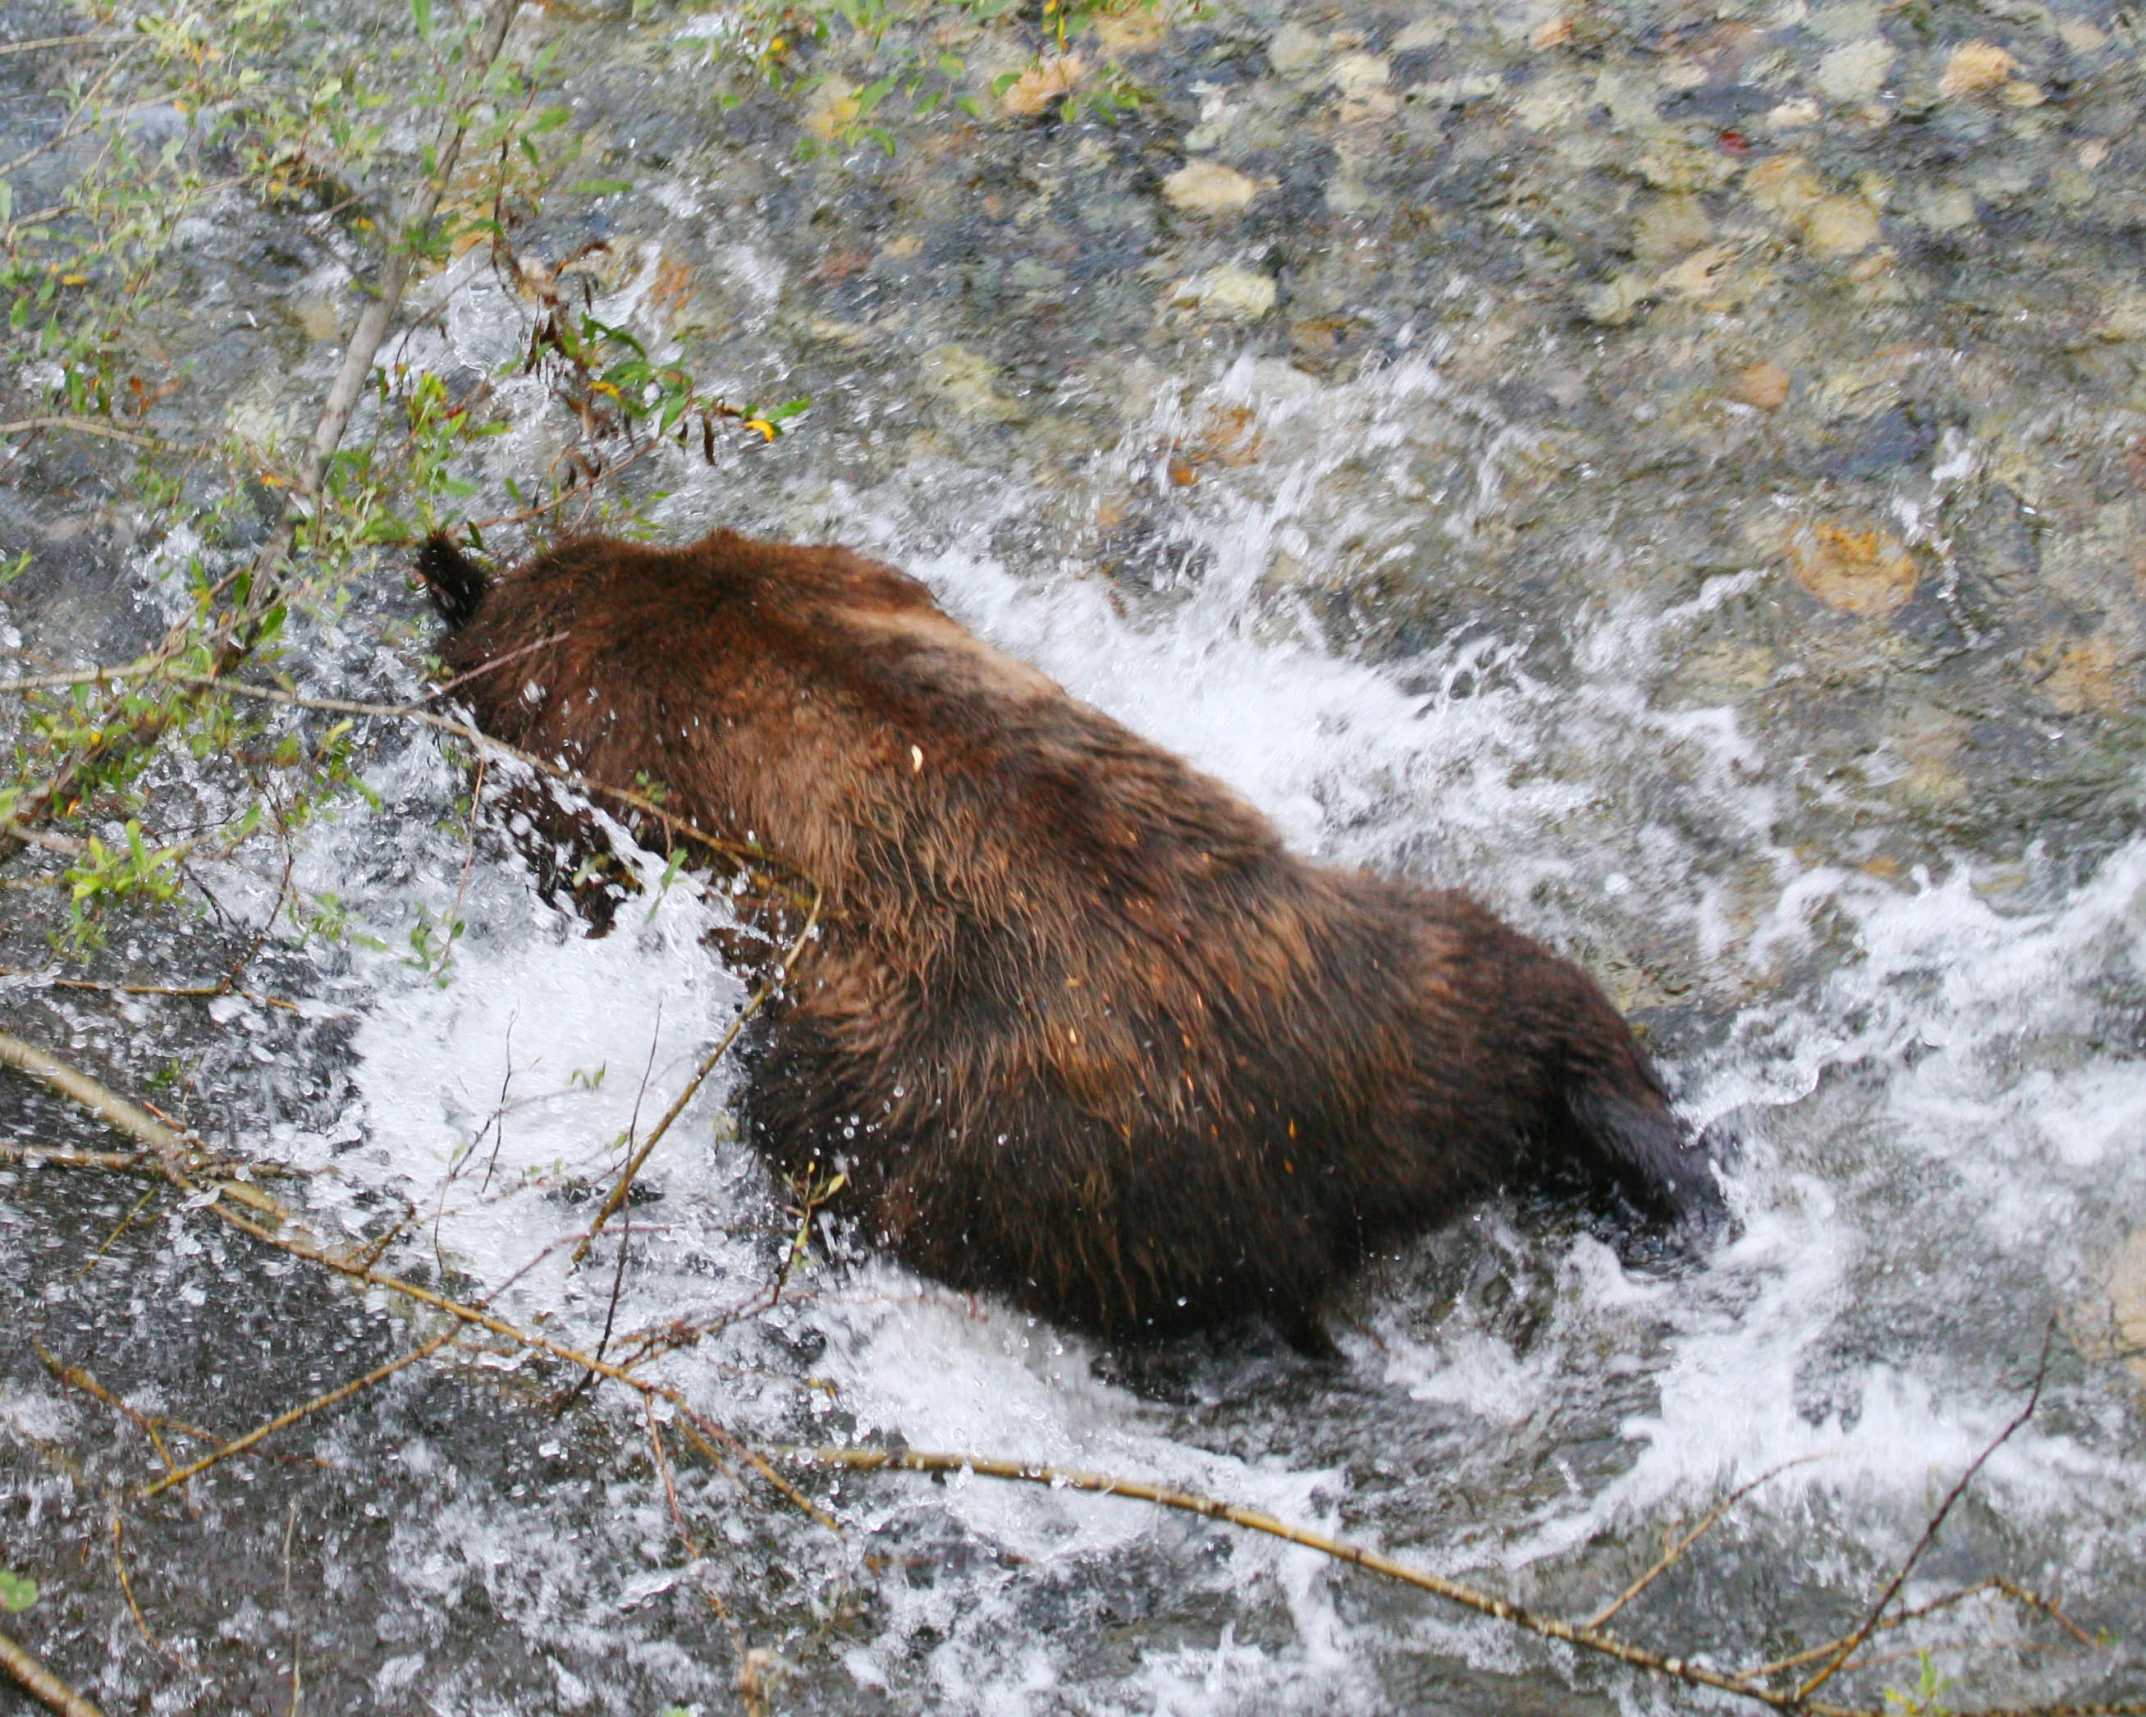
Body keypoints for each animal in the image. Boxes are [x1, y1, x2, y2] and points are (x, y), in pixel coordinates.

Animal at [422, 530, 1725, 1347]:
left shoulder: (585, 751)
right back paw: (1666, 1168)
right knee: (1537, 996)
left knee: (812, 1124)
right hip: (1403, 967)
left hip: (959, 1104)